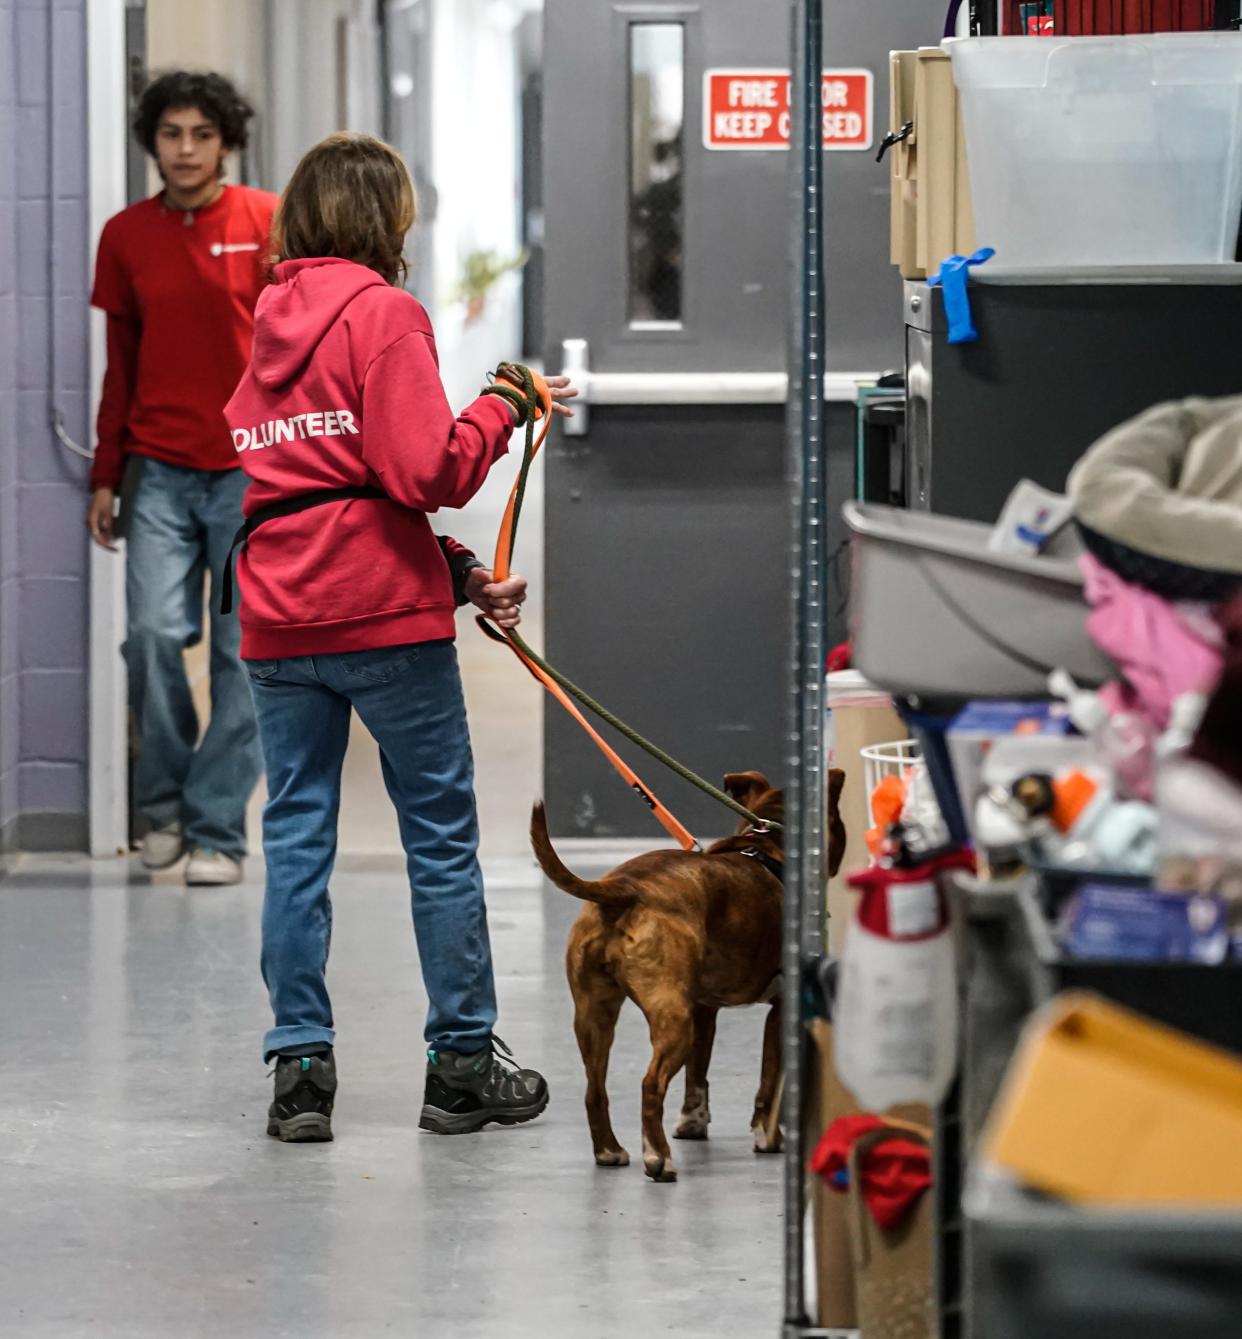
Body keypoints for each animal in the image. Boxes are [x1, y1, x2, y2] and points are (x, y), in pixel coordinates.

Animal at [529, 765, 851, 1183]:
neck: (770, 843)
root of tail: (625, 887)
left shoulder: (703, 1010)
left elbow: (698, 1073)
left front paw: (693, 1123)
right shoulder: (779, 1010)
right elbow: (769, 1082)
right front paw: (768, 1137)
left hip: (595, 1015)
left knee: (594, 1088)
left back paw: (610, 1151)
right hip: (672, 1020)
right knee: (651, 1084)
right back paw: (658, 1157)